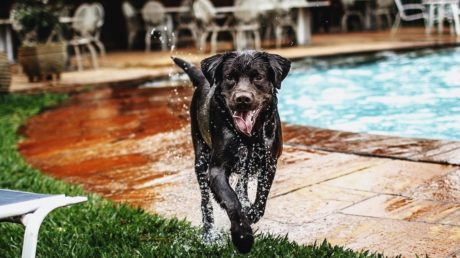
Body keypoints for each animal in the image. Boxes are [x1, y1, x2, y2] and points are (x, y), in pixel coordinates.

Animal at [172, 51, 292, 254]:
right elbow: (231, 200)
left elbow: (261, 198)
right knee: (206, 202)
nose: (243, 98)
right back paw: (209, 233)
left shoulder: (269, 163)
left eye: (258, 77)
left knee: (241, 184)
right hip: (200, 158)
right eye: (229, 77)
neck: (249, 137)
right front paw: (242, 237)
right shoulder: (216, 169)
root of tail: (203, 79)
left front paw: (250, 214)